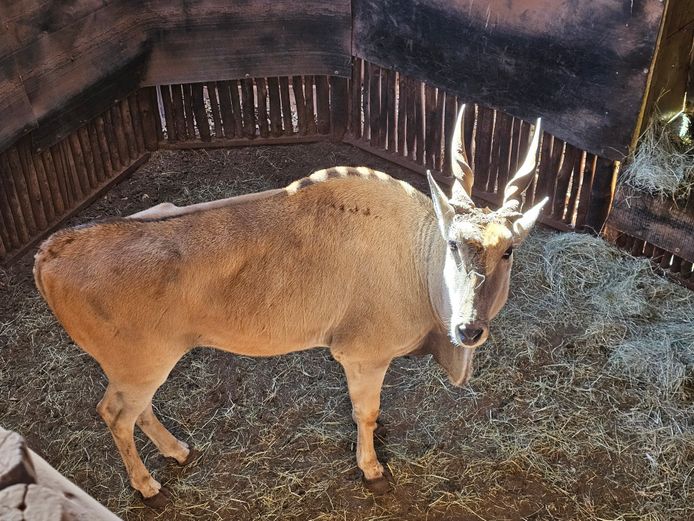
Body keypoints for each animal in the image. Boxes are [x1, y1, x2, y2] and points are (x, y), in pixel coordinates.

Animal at [33, 105, 546, 508]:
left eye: (508, 250)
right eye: (454, 244)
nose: (468, 330)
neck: (415, 251)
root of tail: (50, 252)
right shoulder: (361, 356)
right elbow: (365, 413)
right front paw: (372, 470)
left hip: (141, 367)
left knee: (135, 409)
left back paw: (178, 450)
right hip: (141, 365)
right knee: (115, 413)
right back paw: (147, 485)